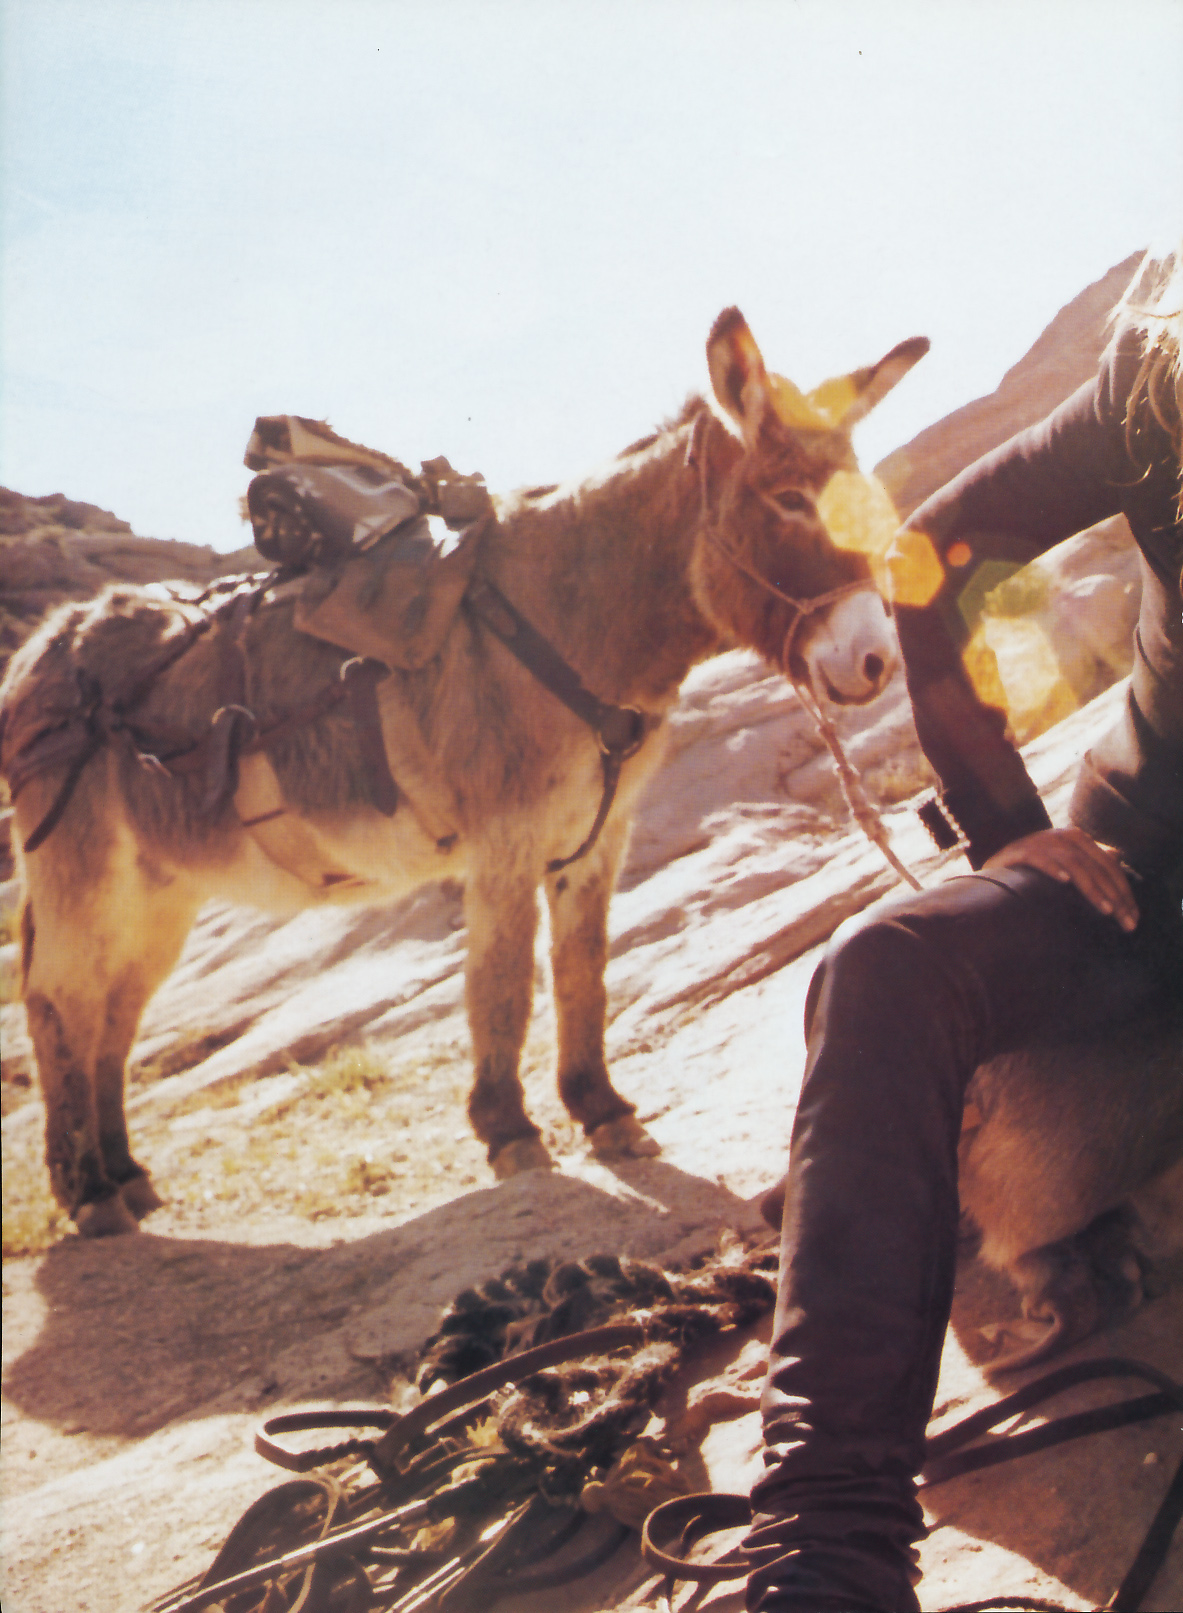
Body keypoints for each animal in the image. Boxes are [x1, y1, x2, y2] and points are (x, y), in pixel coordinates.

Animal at [1, 307, 926, 1236]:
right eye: (789, 501)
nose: (877, 662)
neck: (572, 613)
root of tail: (43, 643)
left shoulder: (597, 836)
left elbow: (584, 972)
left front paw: (601, 1111)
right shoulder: (505, 840)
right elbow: (504, 981)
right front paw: (510, 1130)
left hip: (164, 885)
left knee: (114, 1010)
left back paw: (125, 1176)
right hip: (84, 866)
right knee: (59, 1002)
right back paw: (88, 1194)